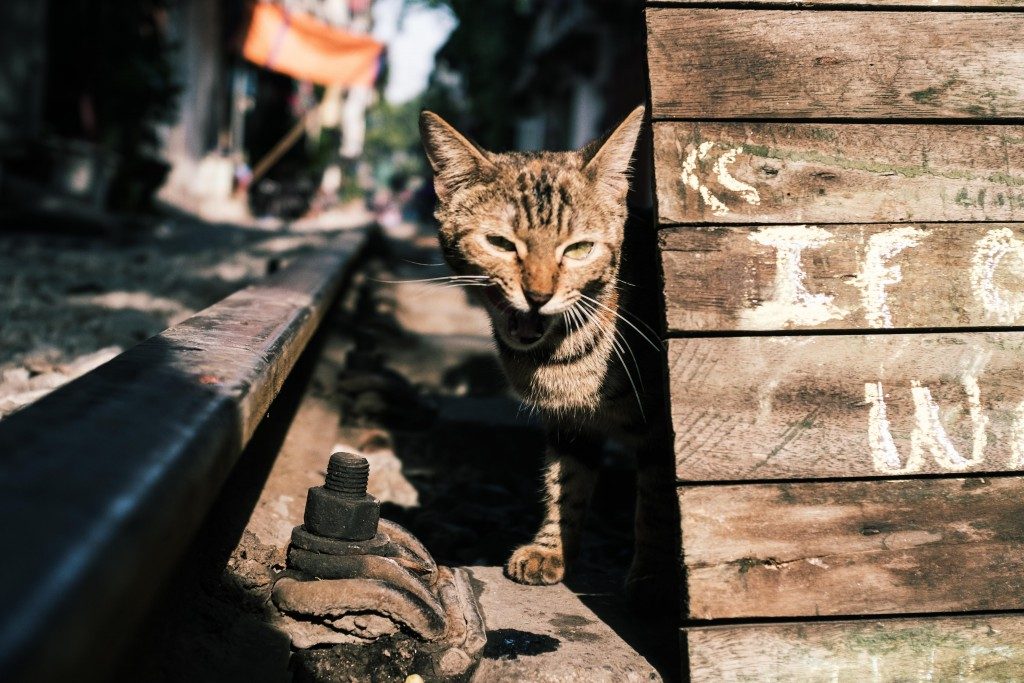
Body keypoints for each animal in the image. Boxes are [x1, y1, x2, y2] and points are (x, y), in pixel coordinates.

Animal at [419, 104, 675, 606]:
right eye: (500, 243)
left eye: (579, 248)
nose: (538, 296)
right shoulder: (568, 423)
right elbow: (565, 484)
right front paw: (549, 548)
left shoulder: (662, 428)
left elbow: (657, 499)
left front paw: (655, 577)